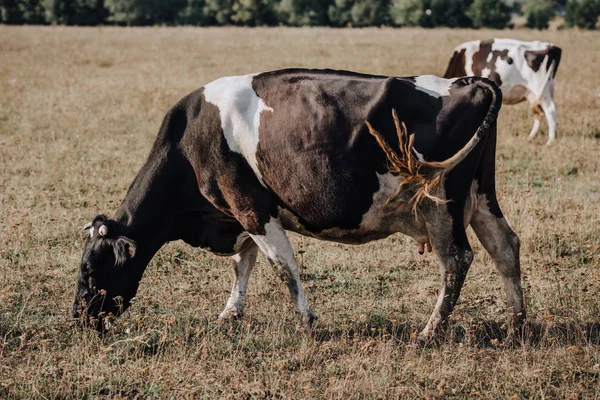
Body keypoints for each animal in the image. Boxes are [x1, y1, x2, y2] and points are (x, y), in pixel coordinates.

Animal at [72, 69, 524, 340]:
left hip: (440, 203)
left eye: (91, 270)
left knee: (457, 260)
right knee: (505, 246)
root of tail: (469, 81)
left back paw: (430, 331)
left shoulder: (252, 208)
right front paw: (230, 313)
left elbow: (282, 266)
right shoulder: (243, 214)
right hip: (481, 196)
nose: (78, 319)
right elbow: (243, 264)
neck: (191, 139)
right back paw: (518, 322)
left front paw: (305, 321)